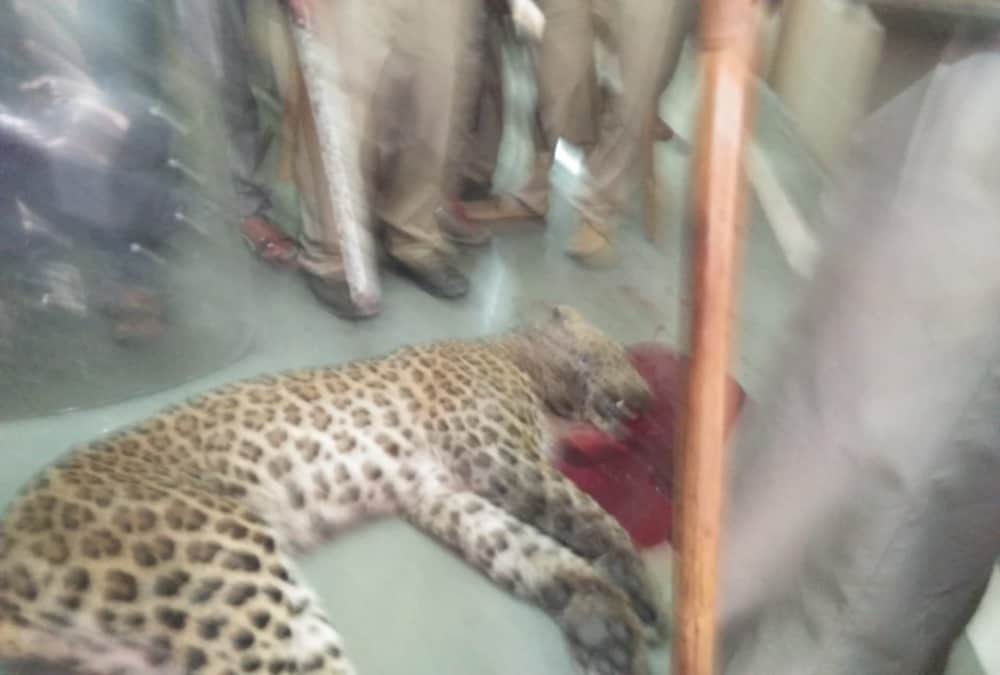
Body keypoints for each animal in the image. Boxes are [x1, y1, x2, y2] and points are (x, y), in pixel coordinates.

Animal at [0, 305, 666, 675]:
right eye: (619, 352)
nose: (648, 399)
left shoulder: (443, 493)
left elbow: (534, 552)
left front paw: (606, 632)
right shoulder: (496, 457)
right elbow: (597, 518)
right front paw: (645, 596)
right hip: (240, 580)